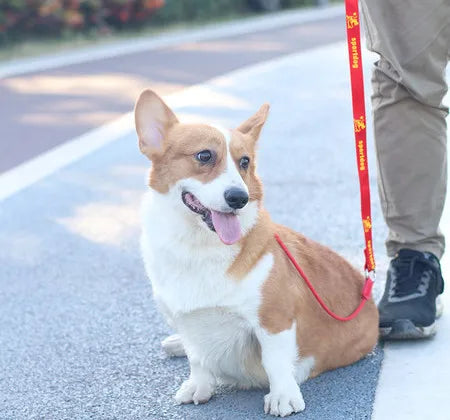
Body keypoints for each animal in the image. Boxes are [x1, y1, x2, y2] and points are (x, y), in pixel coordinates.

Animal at [134, 89, 380, 416]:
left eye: (245, 161)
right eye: (204, 156)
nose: (239, 198)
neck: (199, 246)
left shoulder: (273, 320)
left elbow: (275, 362)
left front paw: (283, 397)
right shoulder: (187, 322)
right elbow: (197, 358)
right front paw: (198, 386)